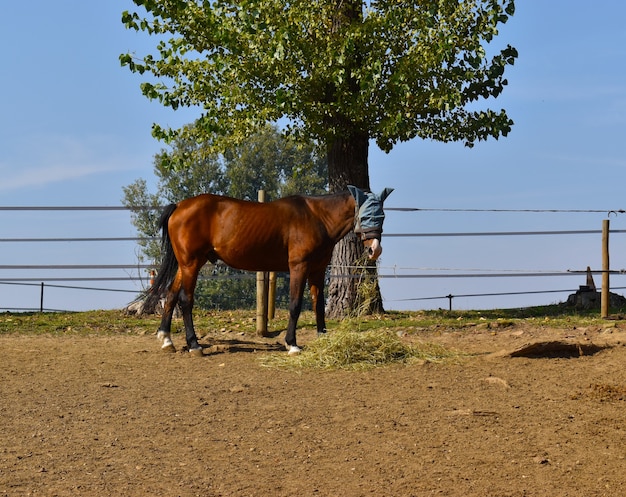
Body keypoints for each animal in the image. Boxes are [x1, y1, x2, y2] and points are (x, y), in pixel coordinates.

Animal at [146, 185, 390, 352]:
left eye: (383, 216)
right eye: (366, 215)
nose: (375, 250)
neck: (317, 217)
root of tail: (179, 206)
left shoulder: (318, 270)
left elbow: (318, 304)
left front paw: (323, 337)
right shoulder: (299, 267)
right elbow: (295, 304)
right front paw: (292, 344)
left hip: (185, 264)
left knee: (171, 294)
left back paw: (167, 339)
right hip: (192, 264)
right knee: (185, 299)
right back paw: (194, 344)